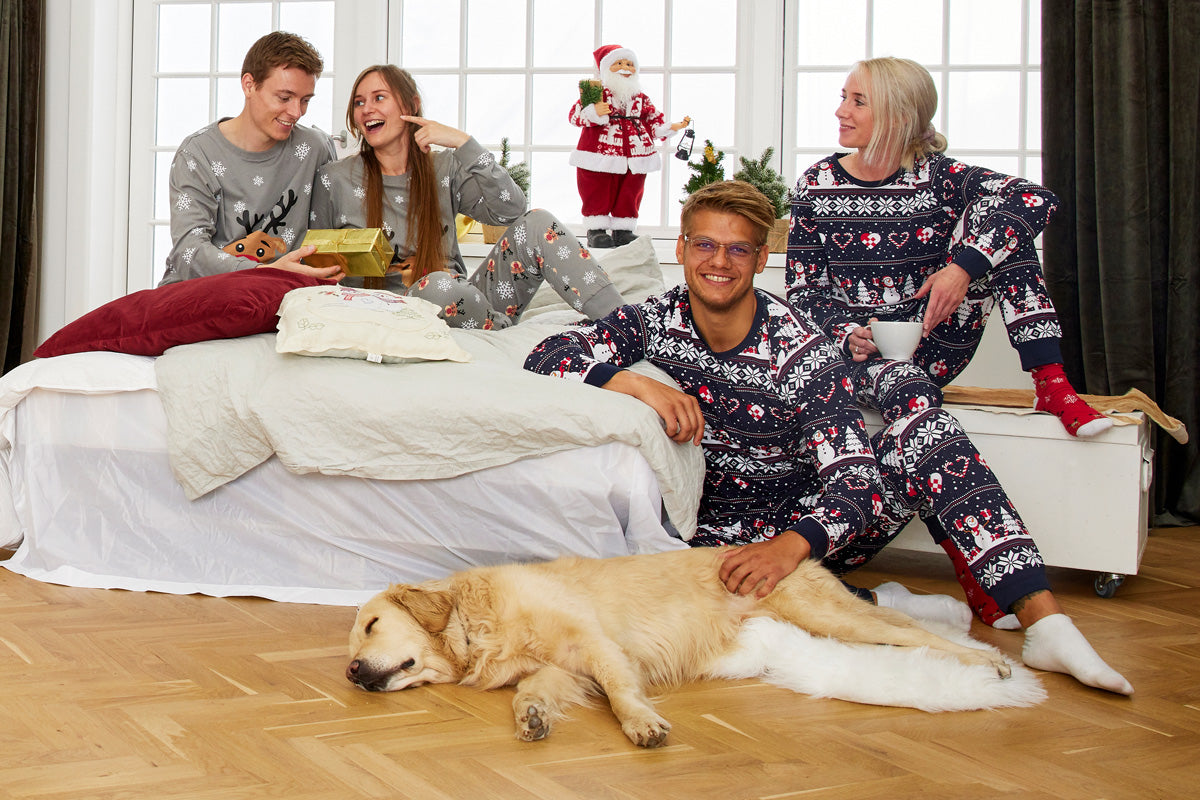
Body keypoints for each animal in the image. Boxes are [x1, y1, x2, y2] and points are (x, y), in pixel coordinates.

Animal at [345, 546, 1003, 748]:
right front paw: (531, 715)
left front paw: (642, 723)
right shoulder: (562, 669)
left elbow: (620, 692)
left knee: (919, 635)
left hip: (831, 616)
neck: (478, 621)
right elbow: (534, 689)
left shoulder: (597, 644)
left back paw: (994, 665)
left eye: (372, 624)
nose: (351, 672)